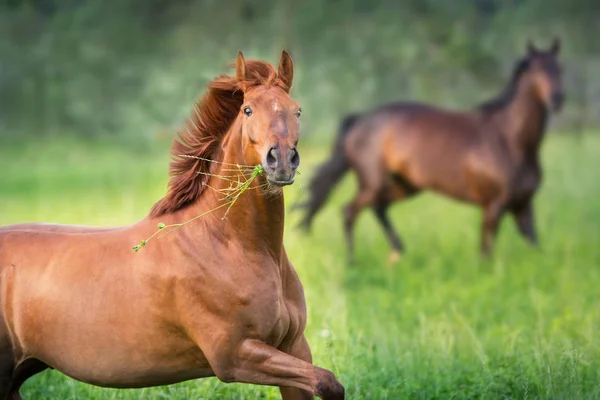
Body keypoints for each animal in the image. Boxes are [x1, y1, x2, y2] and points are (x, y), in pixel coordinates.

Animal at [0, 51, 344, 398]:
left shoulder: (294, 347)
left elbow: (326, 382)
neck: (231, 244)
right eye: (247, 109)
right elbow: (327, 382)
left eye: (296, 109)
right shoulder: (234, 355)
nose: (282, 161)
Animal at [298, 39, 564, 264]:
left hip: (405, 185)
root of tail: (360, 120)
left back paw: (397, 252)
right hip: (372, 183)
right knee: (349, 212)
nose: (557, 98)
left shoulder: (523, 205)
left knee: (378, 208)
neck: (510, 141)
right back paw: (352, 262)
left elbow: (535, 244)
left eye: (559, 69)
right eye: (535, 70)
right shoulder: (493, 206)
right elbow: (486, 252)